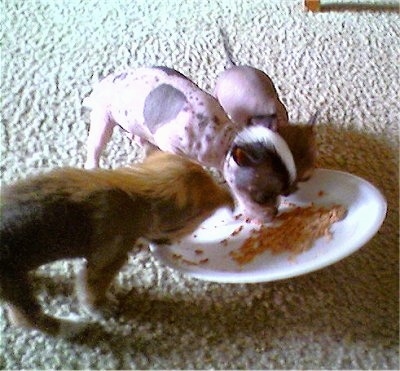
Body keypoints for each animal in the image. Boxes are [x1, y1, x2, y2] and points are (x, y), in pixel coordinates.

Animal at [0, 151, 234, 338]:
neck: (137, 190)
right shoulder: (106, 261)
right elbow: (92, 290)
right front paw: (101, 308)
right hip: (13, 282)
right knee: (26, 317)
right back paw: (70, 328)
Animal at [83, 66, 296, 222]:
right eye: (262, 196)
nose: (274, 214)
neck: (221, 138)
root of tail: (102, 84)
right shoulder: (171, 146)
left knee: (135, 135)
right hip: (103, 119)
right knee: (94, 149)